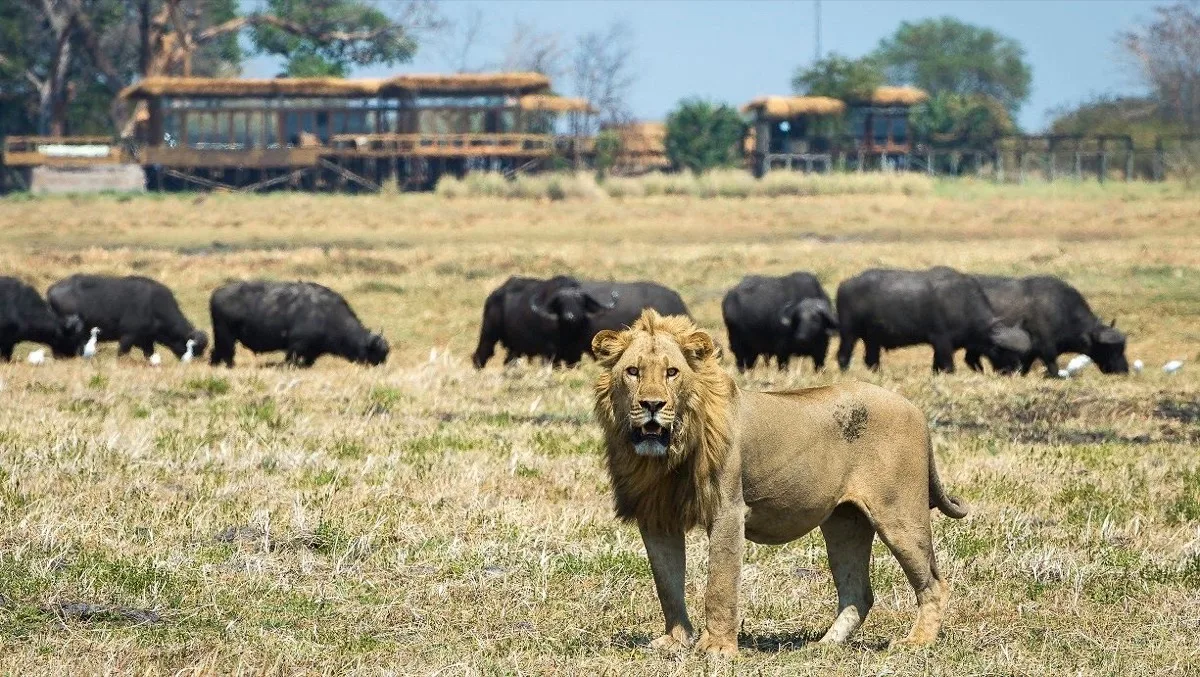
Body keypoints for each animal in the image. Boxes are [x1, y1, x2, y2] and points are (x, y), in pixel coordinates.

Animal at [47, 274, 208, 360]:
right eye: (195, 348)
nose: (195, 361)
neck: (154, 306)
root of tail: (51, 290)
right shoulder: (127, 337)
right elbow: (121, 353)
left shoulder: (147, 341)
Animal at [209, 280, 388, 367]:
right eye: (375, 352)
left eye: (385, 353)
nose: (381, 365)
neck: (328, 315)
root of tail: (216, 293)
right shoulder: (296, 346)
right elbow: (291, 359)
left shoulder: (312, 351)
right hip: (226, 336)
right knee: (227, 353)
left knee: (217, 352)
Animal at [591, 309, 968, 657]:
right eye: (633, 371)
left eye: (672, 372)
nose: (652, 404)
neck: (666, 456)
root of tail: (915, 409)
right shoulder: (657, 516)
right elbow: (666, 583)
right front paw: (675, 642)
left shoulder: (728, 511)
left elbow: (720, 585)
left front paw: (717, 649)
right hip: (845, 523)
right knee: (858, 592)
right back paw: (823, 646)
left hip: (899, 515)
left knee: (934, 583)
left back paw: (917, 642)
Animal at [836, 266, 1031, 373]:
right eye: (1002, 351)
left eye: (1019, 355)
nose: (1015, 370)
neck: (962, 302)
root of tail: (844, 285)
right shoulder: (942, 341)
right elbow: (948, 367)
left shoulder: (941, 347)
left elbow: (936, 368)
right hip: (849, 333)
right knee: (843, 356)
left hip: (872, 339)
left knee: (871, 360)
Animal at [965, 275, 1128, 377]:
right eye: (1110, 349)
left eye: (1122, 348)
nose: (1124, 370)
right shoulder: (1046, 349)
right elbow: (1053, 367)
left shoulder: (1030, 353)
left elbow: (1025, 368)